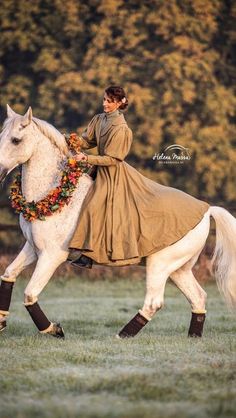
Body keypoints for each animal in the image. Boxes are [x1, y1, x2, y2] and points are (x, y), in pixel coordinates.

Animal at [0, 106, 235, 338]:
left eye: (16, 140)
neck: (52, 194)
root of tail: (206, 210)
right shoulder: (32, 248)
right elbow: (9, 274)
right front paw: (2, 321)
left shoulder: (51, 256)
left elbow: (30, 294)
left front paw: (54, 329)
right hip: (178, 269)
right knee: (198, 297)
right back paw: (193, 337)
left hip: (160, 265)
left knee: (154, 303)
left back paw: (122, 336)